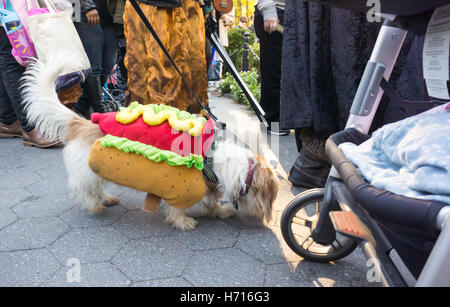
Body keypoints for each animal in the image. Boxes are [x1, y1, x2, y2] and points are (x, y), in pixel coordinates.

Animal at [22, 57, 282, 231]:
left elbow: (212, 202)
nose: (269, 220)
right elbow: (178, 209)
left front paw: (221, 211)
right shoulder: (184, 189)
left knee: (96, 186)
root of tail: (81, 122)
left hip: (97, 170)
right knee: (82, 189)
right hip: (86, 171)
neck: (213, 161)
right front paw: (184, 222)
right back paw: (96, 205)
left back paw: (106, 198)